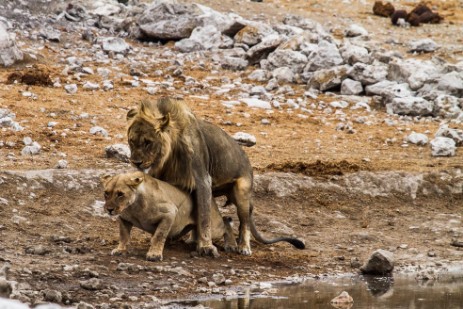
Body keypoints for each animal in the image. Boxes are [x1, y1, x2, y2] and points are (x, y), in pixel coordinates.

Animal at [101, 171, 304, 260]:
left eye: (120, 194)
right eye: (106, 193)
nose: (109, 209)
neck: (134, 205)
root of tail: (212, 200)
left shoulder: (169, 213)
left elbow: (158, 235)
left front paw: (154, 254)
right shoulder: (124, 218)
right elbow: (124, 235)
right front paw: (120, 250)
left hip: (212, 226)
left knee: (226, 221)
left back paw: (231, 245)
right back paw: (195, 241)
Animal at [128, 98, 304, 255]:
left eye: (148, 142)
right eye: (131, 141)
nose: (136, 162)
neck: (169, 154)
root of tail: (247, 160)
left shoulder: (202, 179)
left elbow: (204, 216)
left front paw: (206, 246)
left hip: (242, 193)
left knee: (244, 223)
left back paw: (243, 247)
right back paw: (193, 240)